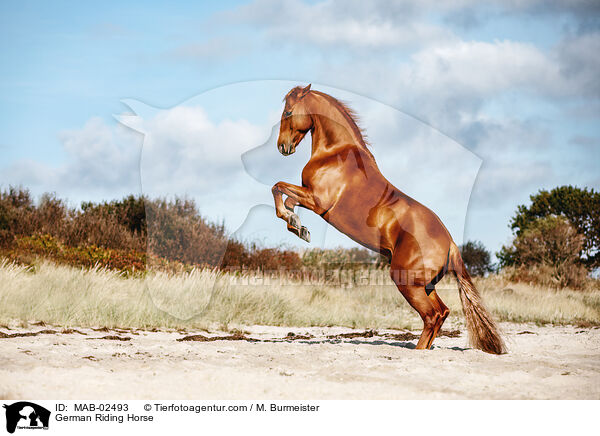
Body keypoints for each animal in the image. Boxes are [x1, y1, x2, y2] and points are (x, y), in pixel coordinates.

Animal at [274, 84, 506, 354]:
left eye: (288, 112)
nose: (282, 147)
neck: (335, 154)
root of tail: (450, 245)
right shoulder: (308, 198)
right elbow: (287, 201)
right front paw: (298, 226)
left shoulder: (317, 201)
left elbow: (278, 188)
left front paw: (295, 224)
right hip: (426, 286)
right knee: (442, 312)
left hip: (407, 282)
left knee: (432, 316)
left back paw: (417, 352)